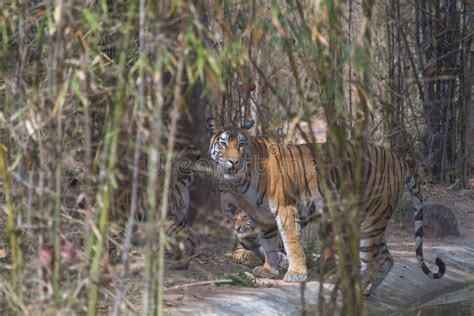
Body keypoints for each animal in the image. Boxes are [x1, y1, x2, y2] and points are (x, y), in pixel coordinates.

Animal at [207, 118, 444, 296]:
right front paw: (268, 270)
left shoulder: (285, 208)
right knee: (387, 258)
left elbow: (291, 243)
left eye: (240, 144)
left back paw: (352, 289)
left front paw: (295, 274)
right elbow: (269, 245)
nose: (233, 162)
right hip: (370, 220)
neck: (243, 178)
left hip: (371, 219)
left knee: (373, 261)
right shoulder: (261, 217)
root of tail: (397, 158)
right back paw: (366, 291)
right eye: (223, 144)